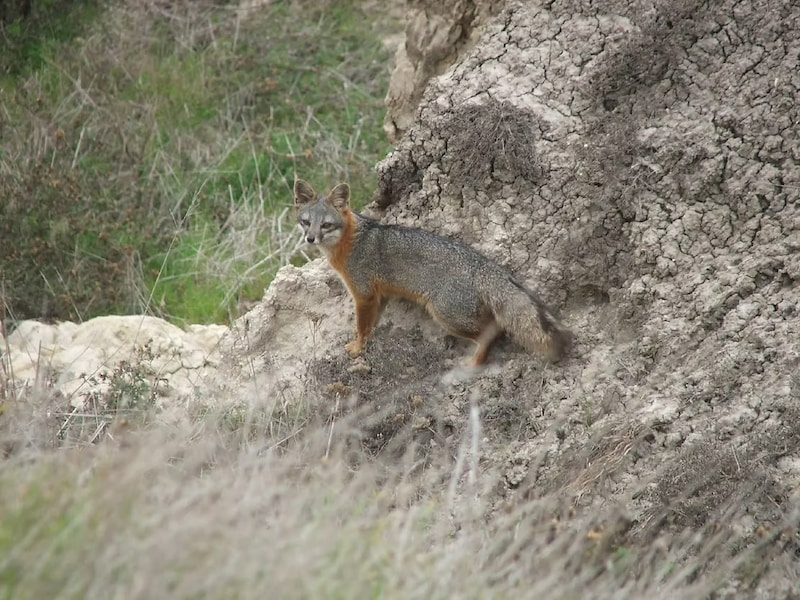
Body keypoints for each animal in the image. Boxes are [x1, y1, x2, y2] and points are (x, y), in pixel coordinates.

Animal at [294, 178, 570, 367]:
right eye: (306, 222)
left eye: (326, 225)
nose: (310, 238)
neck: (349, 241)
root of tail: (483, 264)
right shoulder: (379, 295)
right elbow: (371, 325)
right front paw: (365, 342)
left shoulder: (363, 294)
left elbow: (362, 326)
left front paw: (358, 348)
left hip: (445, 314)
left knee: (491, 331)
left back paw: (473, 364)